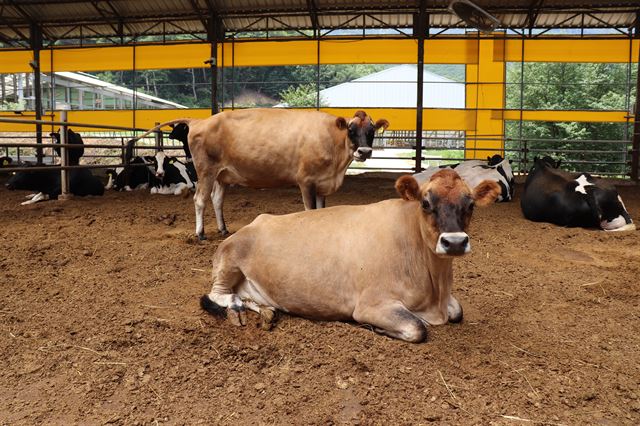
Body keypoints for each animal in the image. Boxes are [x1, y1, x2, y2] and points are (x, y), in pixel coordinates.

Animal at [200, 170, 500, 342]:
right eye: (426, 203)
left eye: (470, 204)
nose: (455, 242)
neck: (435, 289)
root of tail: (256, 221)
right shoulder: (371, 305)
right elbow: (417, 328)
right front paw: (374, 329)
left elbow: (458, 311)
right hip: (229, 260)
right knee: (216, 294)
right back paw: (237, 307)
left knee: (247, 297)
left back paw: (265, 311)